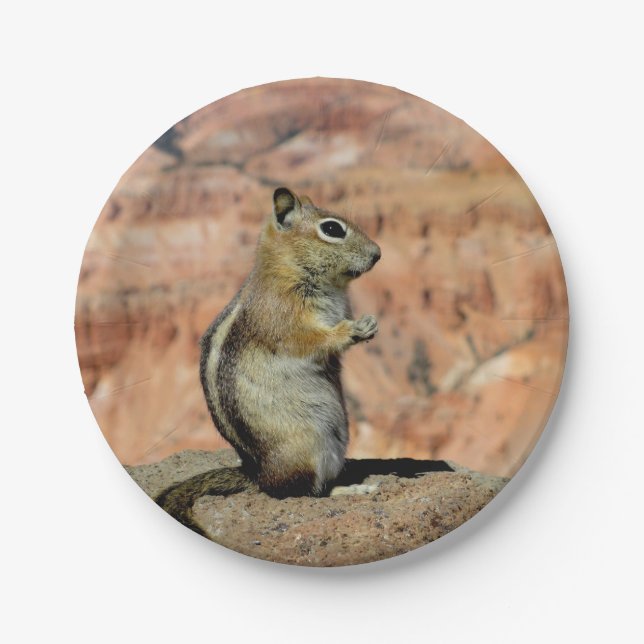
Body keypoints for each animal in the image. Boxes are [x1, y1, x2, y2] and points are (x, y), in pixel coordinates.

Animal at [155, 187, 381, 535]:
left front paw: (368, 326)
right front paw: (352, 330)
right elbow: (311, 340)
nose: (377, 254)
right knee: (303, 493)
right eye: (332, 229)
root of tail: (257, 475)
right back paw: (352, 490)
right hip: (308, 448)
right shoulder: (285, 318)